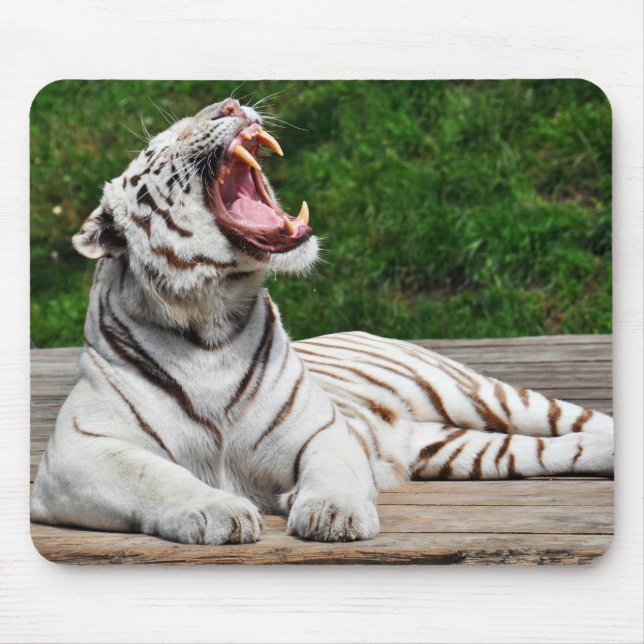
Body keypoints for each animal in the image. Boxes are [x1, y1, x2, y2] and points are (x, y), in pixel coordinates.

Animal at [30, 97, 614, 545]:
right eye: (161, 145)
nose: (232, 104)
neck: (210, 321)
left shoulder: (322, 429)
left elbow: (330, 470)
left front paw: (334, 514)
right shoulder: (76, 452)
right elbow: (154, 476)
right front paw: (218, 512)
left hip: (482, 394)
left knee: (581, 420)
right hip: (462, 449)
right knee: (564, 447)